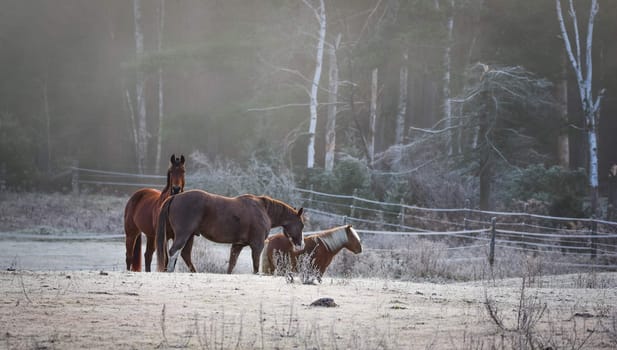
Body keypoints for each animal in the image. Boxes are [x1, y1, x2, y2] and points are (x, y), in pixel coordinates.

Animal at [155, 189, 304, 274]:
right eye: (301, 225)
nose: (301, 245)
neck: (263, 210)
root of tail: (175, 197)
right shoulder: (257, 246)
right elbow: (256, 266)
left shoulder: (237, 245)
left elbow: (231, 265)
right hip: (183, 235)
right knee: (173, 251)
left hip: (188, 236)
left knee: (184, 255)